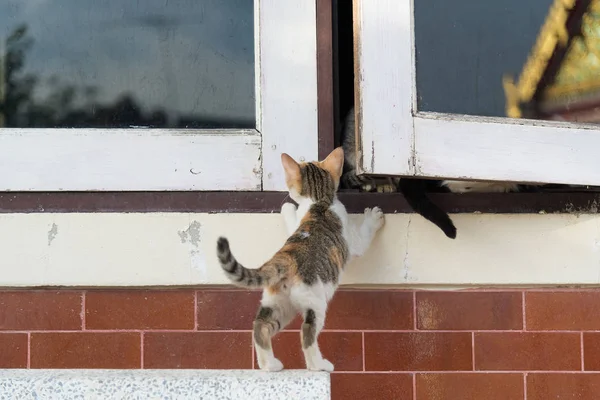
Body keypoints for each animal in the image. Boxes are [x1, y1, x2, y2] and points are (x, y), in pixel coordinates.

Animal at [216, 147, 384, 372]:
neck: (319, 200)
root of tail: (285, 259)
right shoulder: (354, 240)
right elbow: (364, 236)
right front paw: (374, 217)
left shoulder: (298, 222)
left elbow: (292, 217)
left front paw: (287, 207)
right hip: (315, 302)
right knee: (307, 332)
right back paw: (319, 365)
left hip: (277, 304)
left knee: (260, 325)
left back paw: (269, 365)